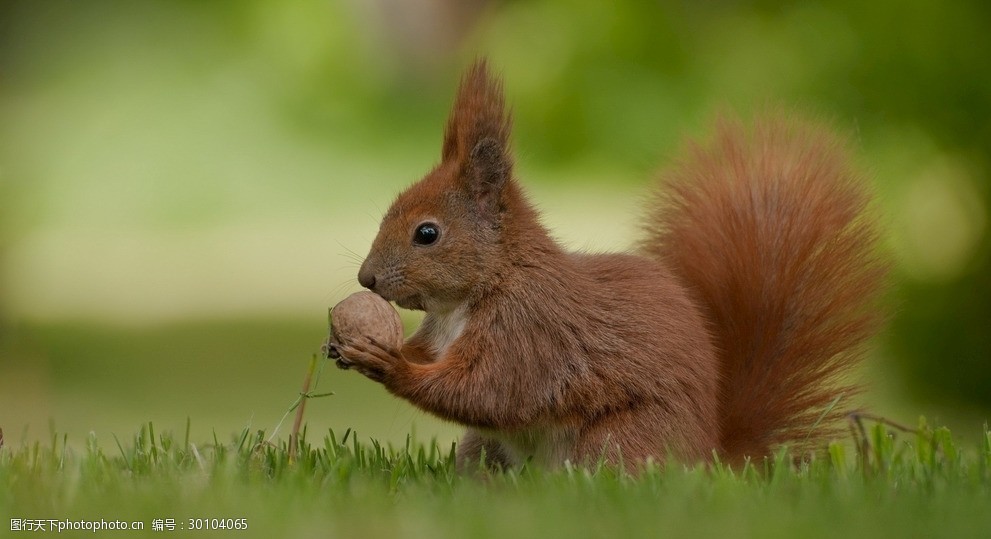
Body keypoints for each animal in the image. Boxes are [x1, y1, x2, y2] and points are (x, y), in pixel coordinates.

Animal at [338, 59, 888, 470]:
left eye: (427, 233)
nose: (367, 278)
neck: (476, 292)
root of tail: (710, 455)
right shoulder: (443, 334)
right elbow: (434, 359)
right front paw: (355, 346)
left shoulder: (531, 332)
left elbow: (488, 392)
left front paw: (389, 365)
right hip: (485, 450)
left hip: (617, 441)